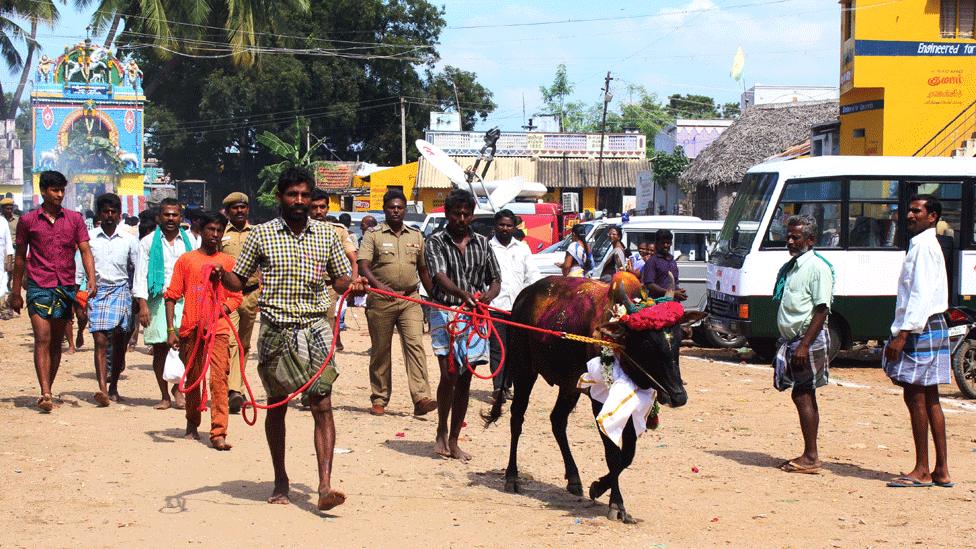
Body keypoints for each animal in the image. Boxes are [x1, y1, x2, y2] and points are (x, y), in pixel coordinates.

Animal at [486, 272, 700, 520]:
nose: (678, 396)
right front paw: (616, 504)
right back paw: (512, 477)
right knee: (517, 419)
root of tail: (524, 295)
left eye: (677, 338)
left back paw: (573, 478)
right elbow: (613, 454)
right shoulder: (599, 402)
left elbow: (628, 454)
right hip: (524, 370)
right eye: (647, 341)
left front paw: (598, 487)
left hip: (569, 385)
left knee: (557, 421)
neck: (618, 346)